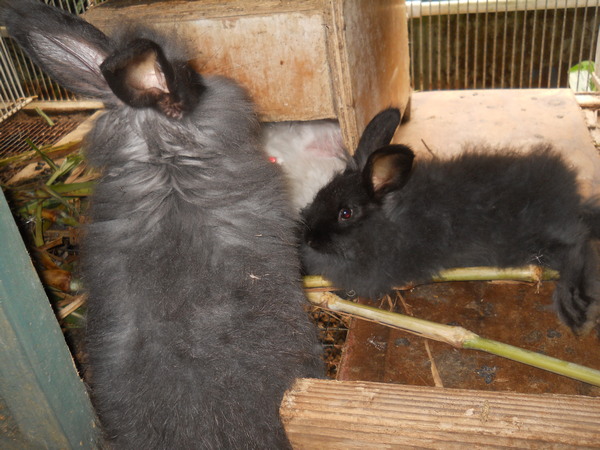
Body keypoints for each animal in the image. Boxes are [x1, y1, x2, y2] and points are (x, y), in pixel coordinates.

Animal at [302, 108, 600, 334]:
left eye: (346, 213)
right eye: (318, 194)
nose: (310, 237)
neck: (387, 222)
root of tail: (573, 202)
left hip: (542, 239)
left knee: (579, 246)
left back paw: (572, 305)